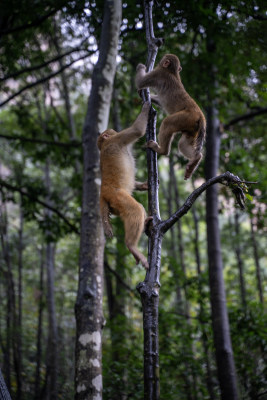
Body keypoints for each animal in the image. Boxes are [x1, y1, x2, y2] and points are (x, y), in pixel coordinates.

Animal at [97, 102, 152, 268]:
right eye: (111, 132)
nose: (112, 130)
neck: (105, 144)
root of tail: (103, 194)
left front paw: (144, 186)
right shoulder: (117, 139)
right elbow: (137, 130)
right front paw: (146, 107)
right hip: (117, 196)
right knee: (135, 210)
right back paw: (131, 246)